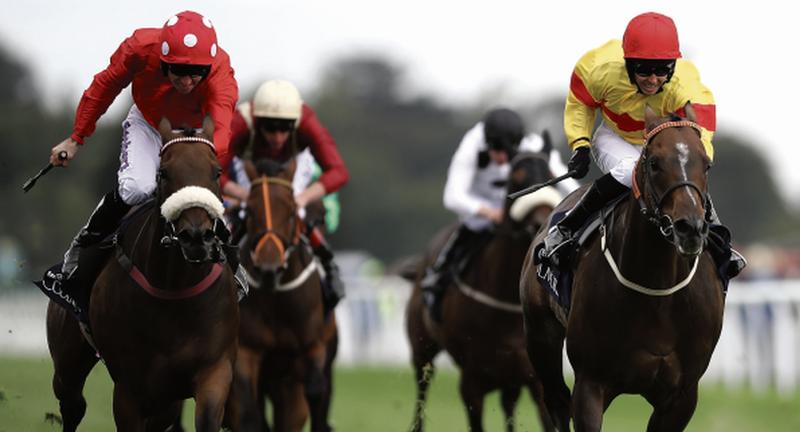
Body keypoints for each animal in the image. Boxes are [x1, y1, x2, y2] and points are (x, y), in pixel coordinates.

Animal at [45, 116, 239, 430]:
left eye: (216, 172)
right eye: (164, 172)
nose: (196, 238)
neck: (174, 289)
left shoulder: (214, 369)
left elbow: (209, 415)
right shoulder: (129, 388)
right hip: (67, 361)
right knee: (73, 403)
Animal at [225, 159, 334, 432]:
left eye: (292, 211)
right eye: (250, 212)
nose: (269, 268)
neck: (277, 299)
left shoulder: (312, 347)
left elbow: (315, 390)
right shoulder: (246, 352)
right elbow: (248, 411)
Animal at [404, 152, 560, 432]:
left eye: (551, 174)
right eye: (516, 178)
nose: (541, 222)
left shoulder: (534, 377)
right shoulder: (472, 382)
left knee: (509, 405)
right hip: (422, 350)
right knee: (422, 392)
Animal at [520, 105, 728, 432]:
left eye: (706, 165)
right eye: (654, 163)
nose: (690, 228)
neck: (656, 289)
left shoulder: (682, 396)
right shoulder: (590, 384)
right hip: (540, 334)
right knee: (555, 400)